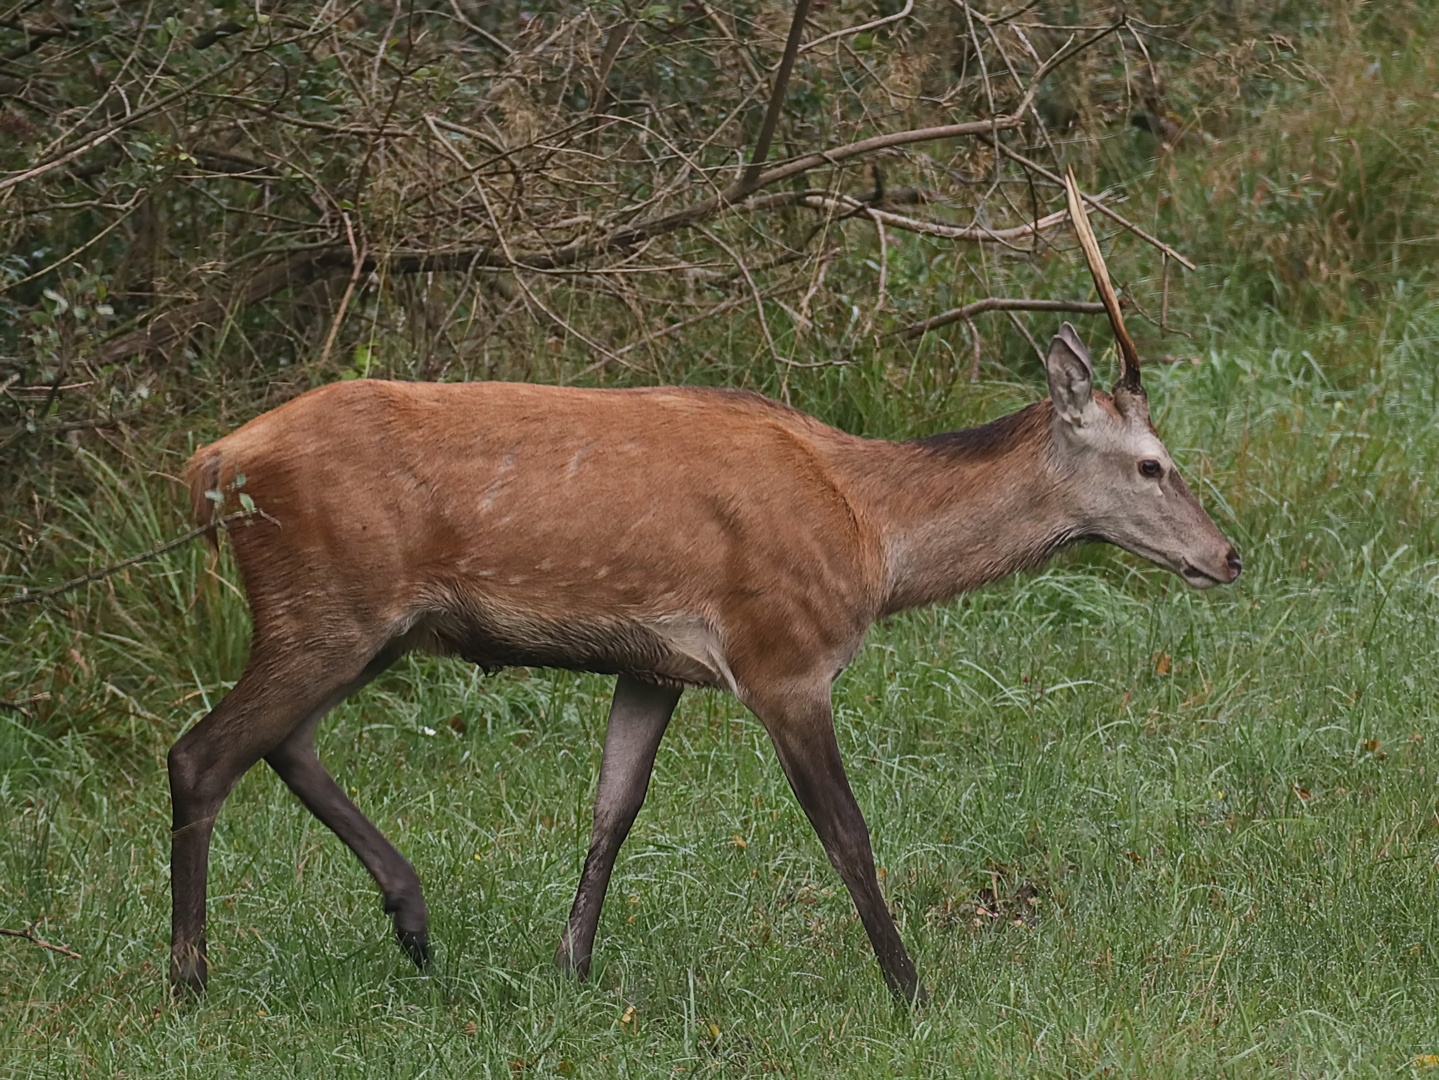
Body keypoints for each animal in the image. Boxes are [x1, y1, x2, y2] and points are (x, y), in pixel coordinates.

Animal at [168, 171, 1237, 1006]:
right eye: (1152, 464)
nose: (1227, 556)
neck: (871, 535)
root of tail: (209, 465)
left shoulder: (655, 667)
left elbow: (612, 811)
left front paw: (570, 970)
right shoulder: (782, 656)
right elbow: (847, 834)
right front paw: (911, 990)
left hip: (369, 626)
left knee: (284, 743)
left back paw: (414, 921)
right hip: (325, 605)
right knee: (201, 753)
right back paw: (189, 978)